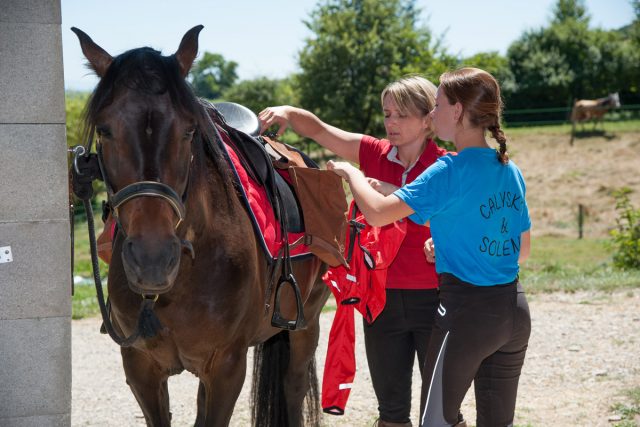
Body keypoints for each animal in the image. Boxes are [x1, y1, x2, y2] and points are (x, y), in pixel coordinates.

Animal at [72, 25, 330, 426]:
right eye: (105, 130)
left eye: (189, 131)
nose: (153, 261)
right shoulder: (140, 367)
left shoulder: (226, 367)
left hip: (308, 321)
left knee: (294, 385)